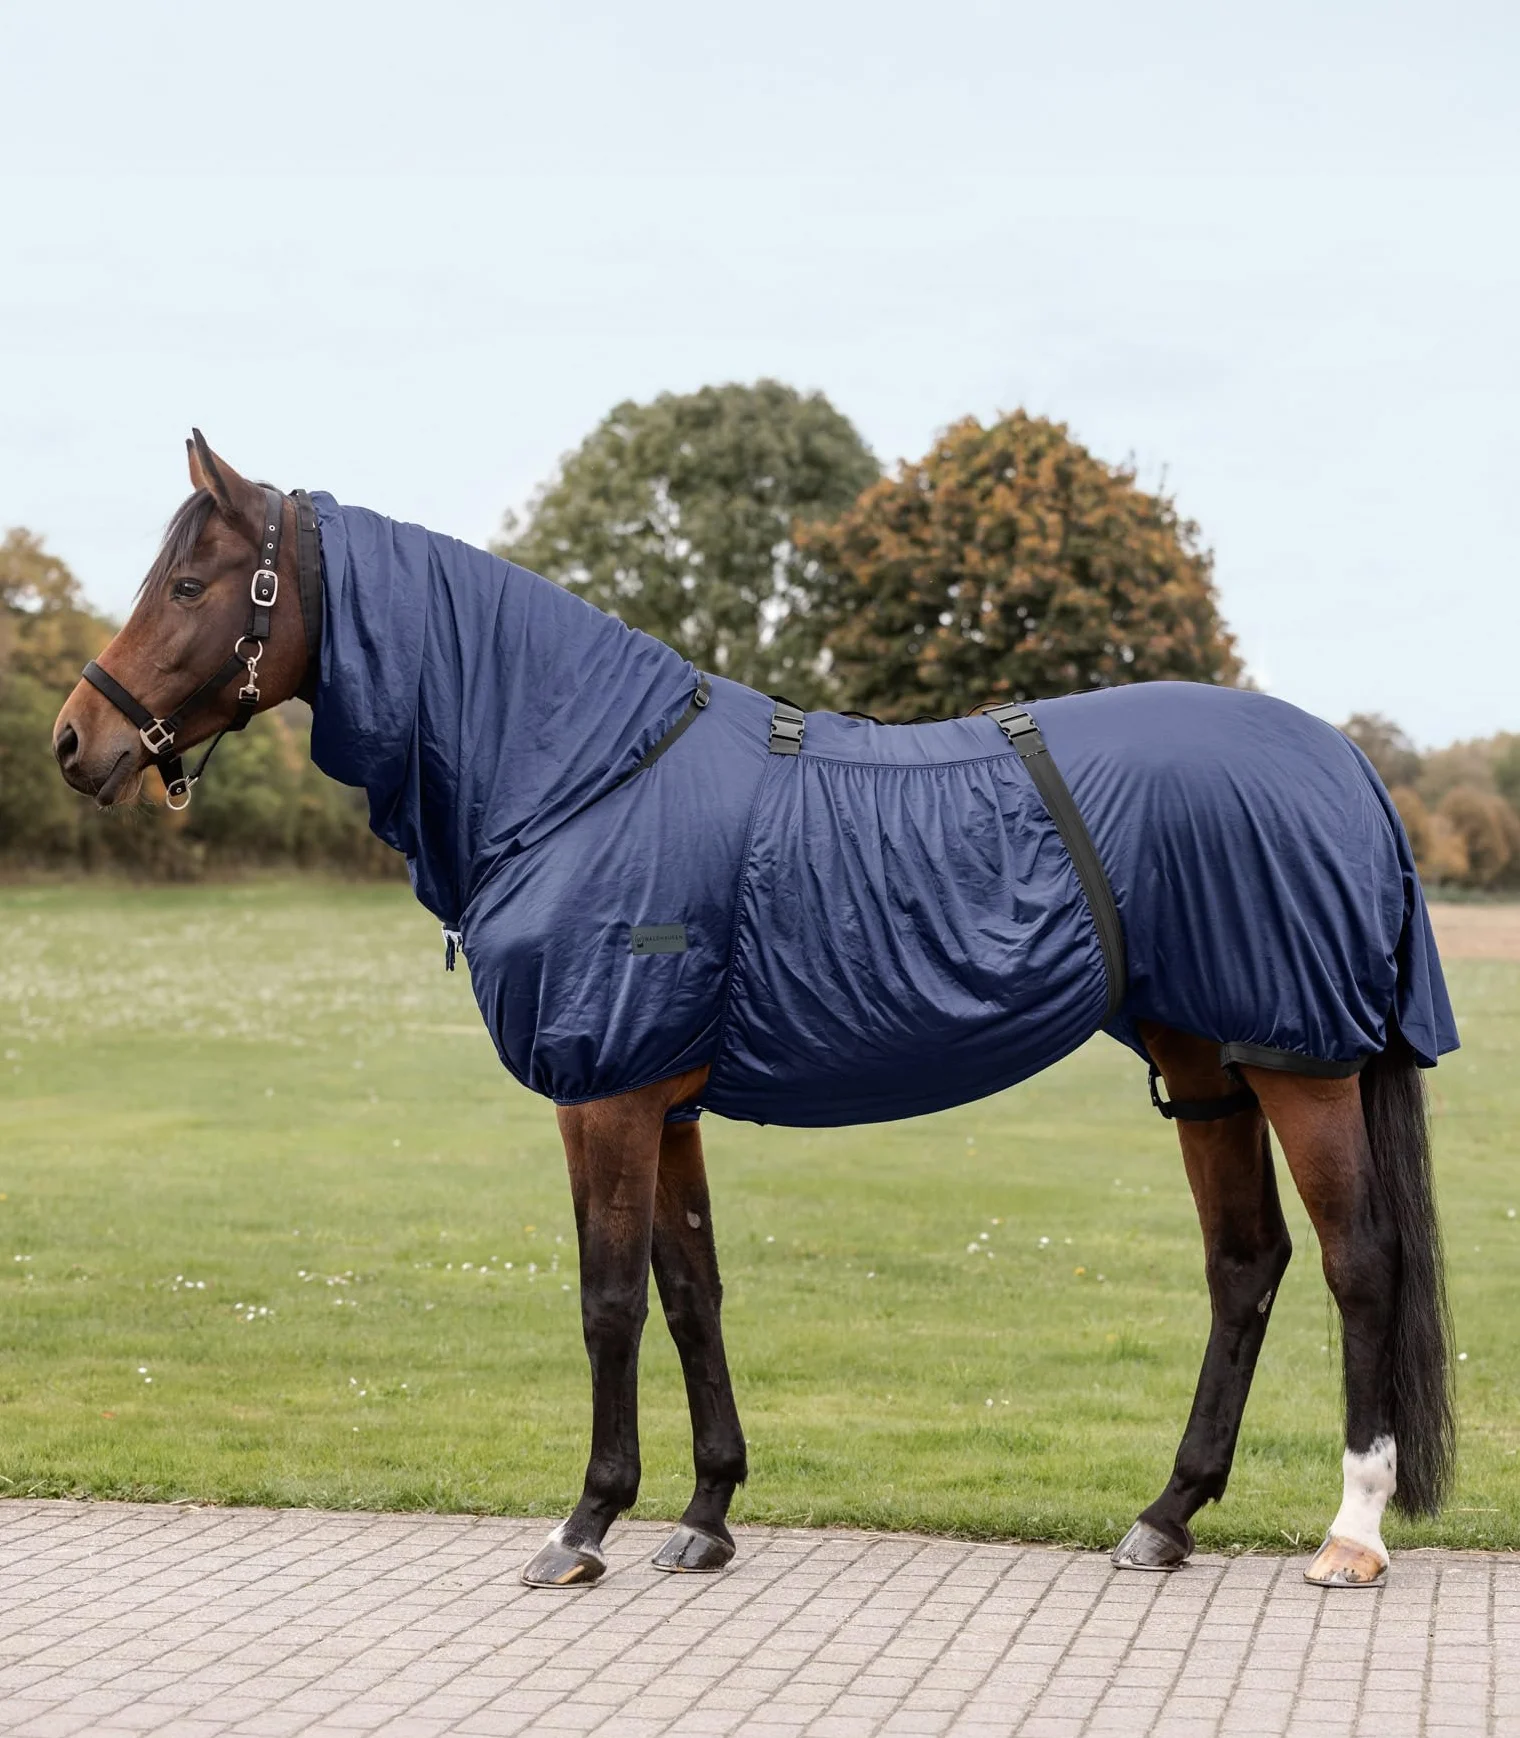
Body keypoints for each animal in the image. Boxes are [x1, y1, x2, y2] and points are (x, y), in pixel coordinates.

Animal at [53, 432, 1457, 1592]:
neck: (584, 772)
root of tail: (1343, 760)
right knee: (1244, 1264)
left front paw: (583, 1524)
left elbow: (607, 1298)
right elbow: (690, 1292)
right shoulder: (663, 1101)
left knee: (1357, 1263)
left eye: (191, 587)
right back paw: (1164, 1517)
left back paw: (1349, 1533)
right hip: (1205, 1065)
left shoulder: (604, 1093)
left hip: (1300, 1065)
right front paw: (705, 1515)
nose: (75, 742)